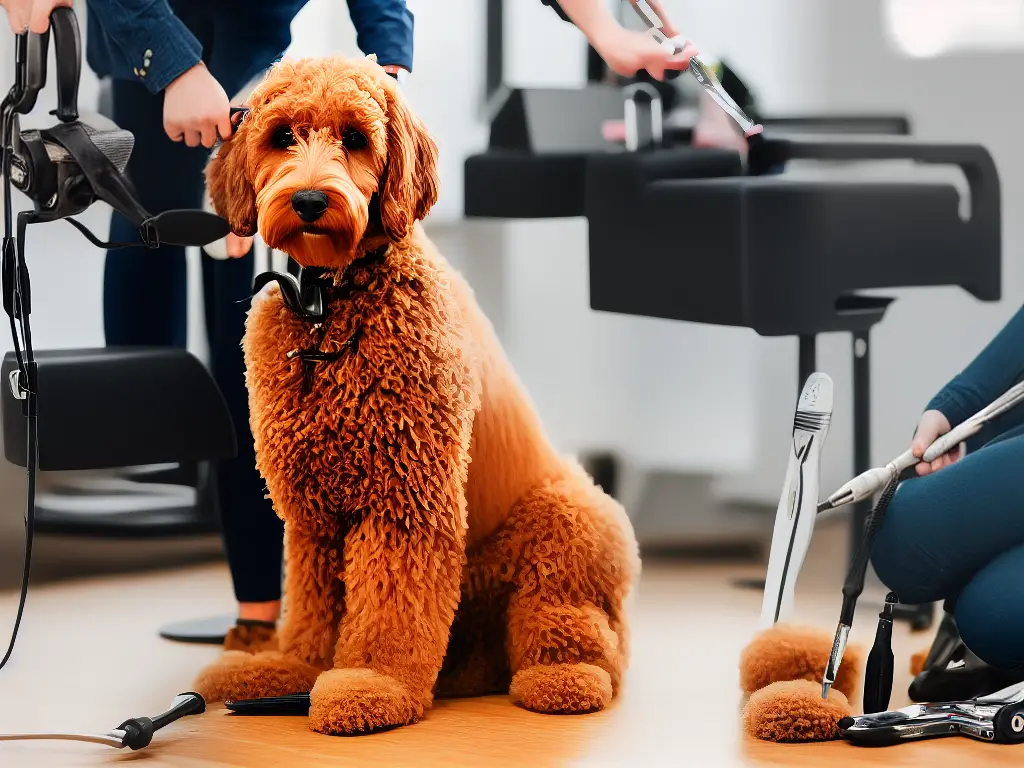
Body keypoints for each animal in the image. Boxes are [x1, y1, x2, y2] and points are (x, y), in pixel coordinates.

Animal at [190, 57, 638, 737]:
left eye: (354, 137)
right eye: (282, 135)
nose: (310, 200)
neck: (330, 304)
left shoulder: (403, 499)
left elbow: (388, 605)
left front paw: (371, 683)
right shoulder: (315, 516)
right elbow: (315, 606)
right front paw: (296, 667)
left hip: (569, 523)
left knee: (583, 633)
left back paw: (564, 677)